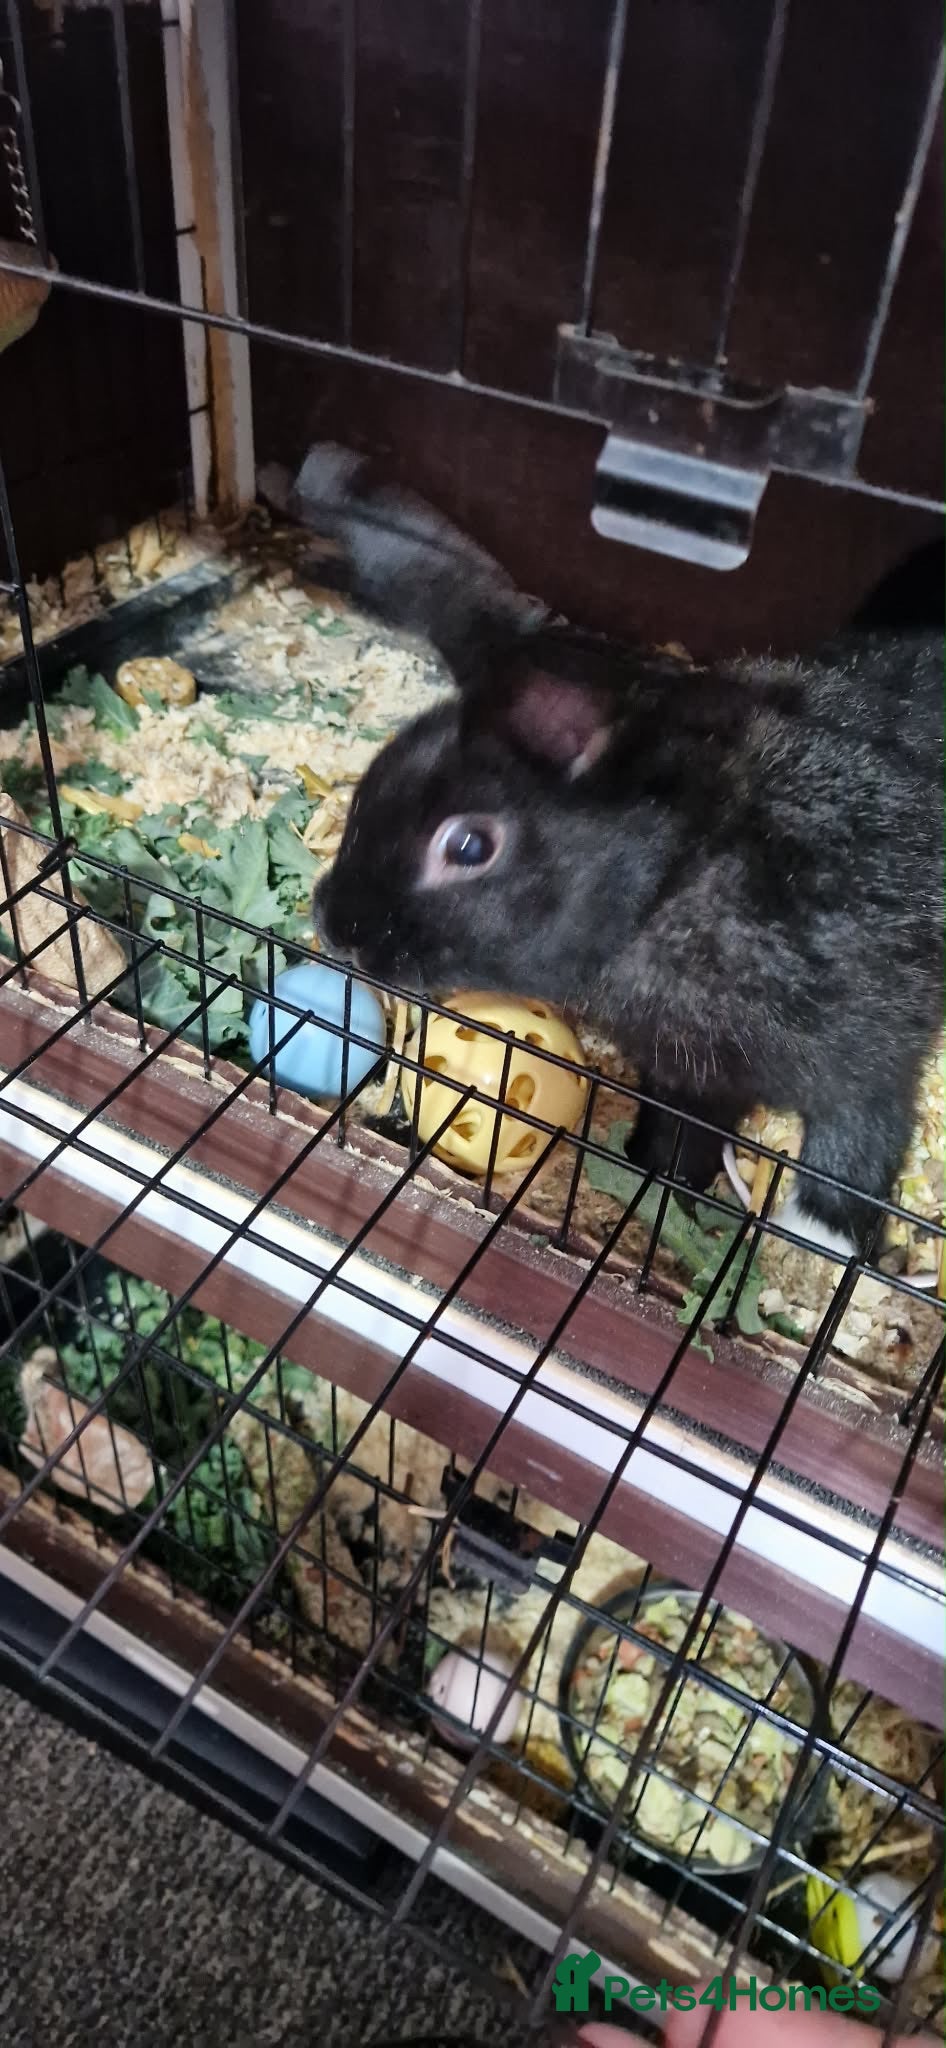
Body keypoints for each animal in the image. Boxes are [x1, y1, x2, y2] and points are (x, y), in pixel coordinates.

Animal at [286, 444, 943, 1258]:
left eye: (467, 845)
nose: (333, 925)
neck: (672, 881)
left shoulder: (869, 1039)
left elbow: (862, 1134)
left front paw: (818, 1237)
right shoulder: (688, 1075)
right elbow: (684, 1128)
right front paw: (661, 1177)